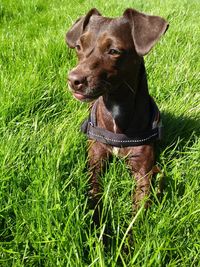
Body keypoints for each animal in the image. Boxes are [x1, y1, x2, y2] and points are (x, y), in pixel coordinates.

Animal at [66, 7, 169, 214]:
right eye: (79, 46)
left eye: (114, 51)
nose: (73, 80)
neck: (116, 105)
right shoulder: (95, 161)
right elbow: (94, 194)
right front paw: (97, 221)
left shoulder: (143, 171)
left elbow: (139, 209)